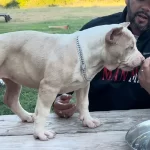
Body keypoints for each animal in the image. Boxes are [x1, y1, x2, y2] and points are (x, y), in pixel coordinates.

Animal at [0, 21, 144, 140]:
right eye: (130, 47)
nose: (143, 59)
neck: (85, 53)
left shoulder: (84, 85)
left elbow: (84, 104)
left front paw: (88, 121)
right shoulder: (49, 87)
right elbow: (43, 112)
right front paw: (40, 133)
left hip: (13, 81)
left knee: (11, 99)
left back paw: (26, 116)